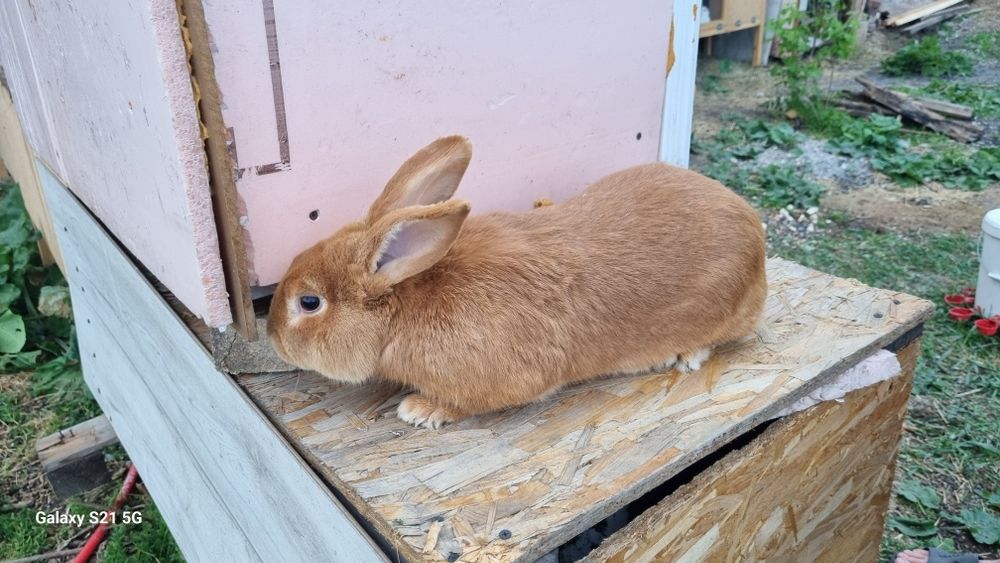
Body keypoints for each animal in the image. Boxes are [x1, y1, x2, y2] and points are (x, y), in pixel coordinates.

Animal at [267, 136, 767, 429]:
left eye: (309, 303)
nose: (271, 337)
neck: (405, 305)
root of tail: (755, 232)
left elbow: (470, 402)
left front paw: (420, 410)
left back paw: (685, 356)